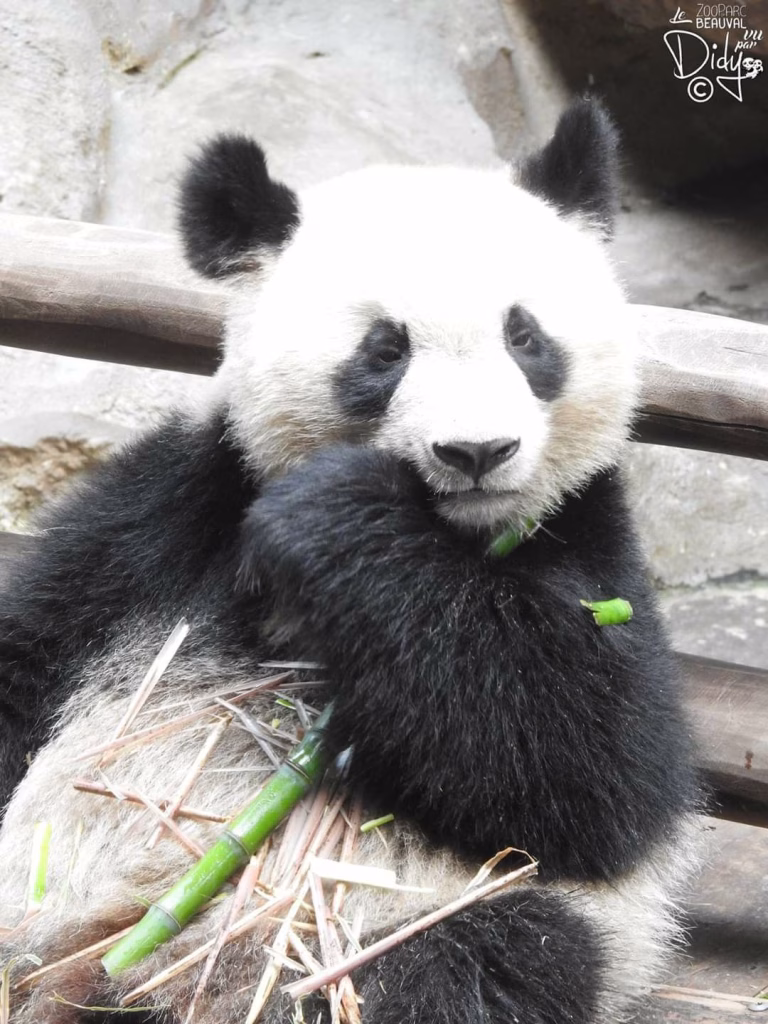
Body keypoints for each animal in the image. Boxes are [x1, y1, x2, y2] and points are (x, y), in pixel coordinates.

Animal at [0, 98, 699, 1024]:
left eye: (524, 335)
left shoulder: (584, 534)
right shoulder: (172, 508)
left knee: (475, 960)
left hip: (420, 922)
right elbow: (32, 651)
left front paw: (340, 518)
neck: (453, 537)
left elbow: (603, 776)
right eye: (384, 348)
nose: (478, 452)